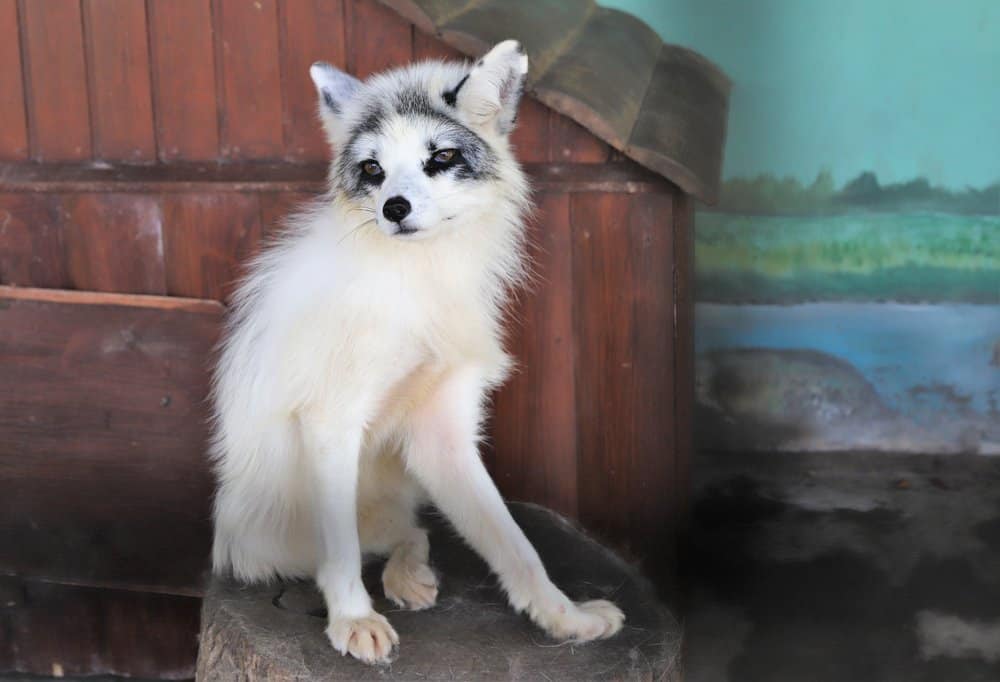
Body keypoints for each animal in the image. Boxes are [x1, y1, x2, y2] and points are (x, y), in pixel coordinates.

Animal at [207, 39, 620, 660]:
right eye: (372, 169)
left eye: (441, 157)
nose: (394, 209)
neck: (418, 284)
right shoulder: (332, 419)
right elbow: (342, 554)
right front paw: (353, 620)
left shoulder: (442, 434)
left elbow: (515, 544)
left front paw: (563, 617)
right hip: (265, 540)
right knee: (346, 549)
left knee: (412, 532)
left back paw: (410, 576)